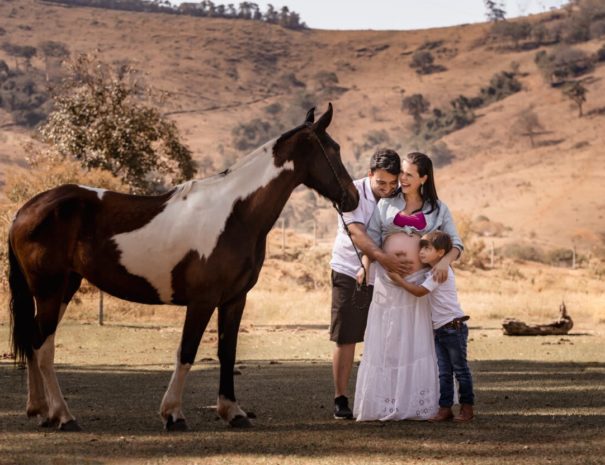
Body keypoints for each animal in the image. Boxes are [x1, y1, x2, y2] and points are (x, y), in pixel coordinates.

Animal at [7, 103, 358, 430]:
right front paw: (173, 414)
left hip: (64, 288)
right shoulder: (202, 301)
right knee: (43, 347)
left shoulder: (234, 299)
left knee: (34, 342)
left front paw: (233, 412)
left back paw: (42, 412)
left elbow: (227, 352)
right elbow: (187, 351)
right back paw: (64, 416)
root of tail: (27, 209)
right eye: (334, 149)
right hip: (50, 291)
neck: (235, 213)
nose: (352, 198)